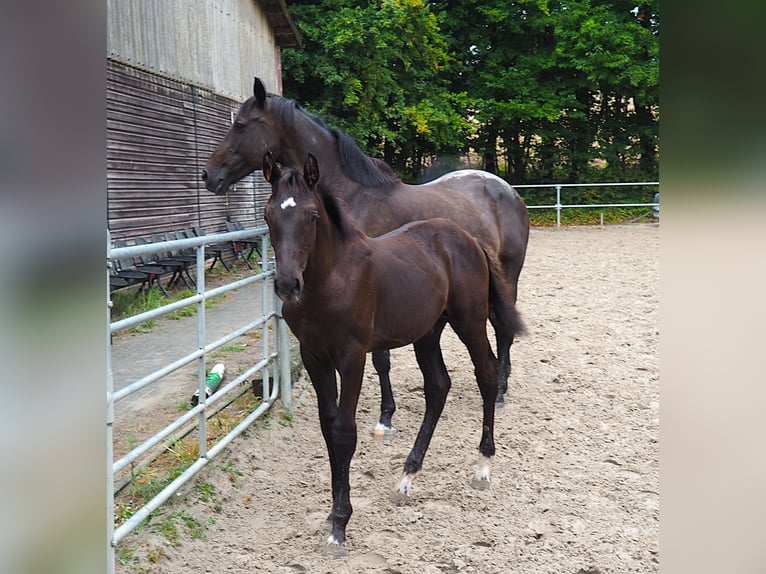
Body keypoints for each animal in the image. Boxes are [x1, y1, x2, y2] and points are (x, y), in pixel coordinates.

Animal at [202, 77, 529, 437]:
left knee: (502, 330)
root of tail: (507, 190)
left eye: (241, 125)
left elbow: (380, 359)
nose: (208, 174)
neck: (354, 195)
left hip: (509, 275)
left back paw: (500, 390)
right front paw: (386, 414)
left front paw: (386, 417)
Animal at [261, 152, 524, 550]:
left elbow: (344, 432)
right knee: (438, 386)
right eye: (268, 215)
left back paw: (482, 467)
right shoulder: (314, 357)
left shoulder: (352, 357)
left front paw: (340, 526)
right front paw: (332, 514)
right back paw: (407, 477)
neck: (332, 280)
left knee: (487, 374)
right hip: (428, 332)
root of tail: (469, 239)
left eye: (312, 216)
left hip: (470, 321)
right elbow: (327, 428)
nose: (288, 284)